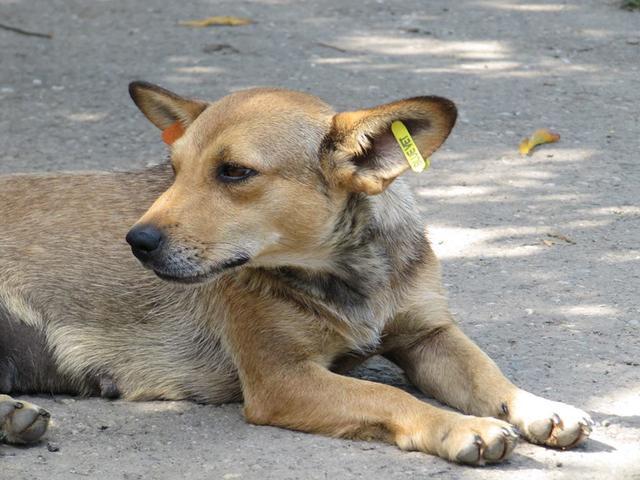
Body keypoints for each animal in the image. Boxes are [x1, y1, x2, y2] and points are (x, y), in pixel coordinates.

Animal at [0, 80, 596, 464]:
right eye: (174, 170)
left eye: (234, 172)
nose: (136, 242)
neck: (348, 274)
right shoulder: (283, 378)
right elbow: (392, 398)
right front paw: (459, 426)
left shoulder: (430, 336)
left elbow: (489, 374)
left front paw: (540, 408)